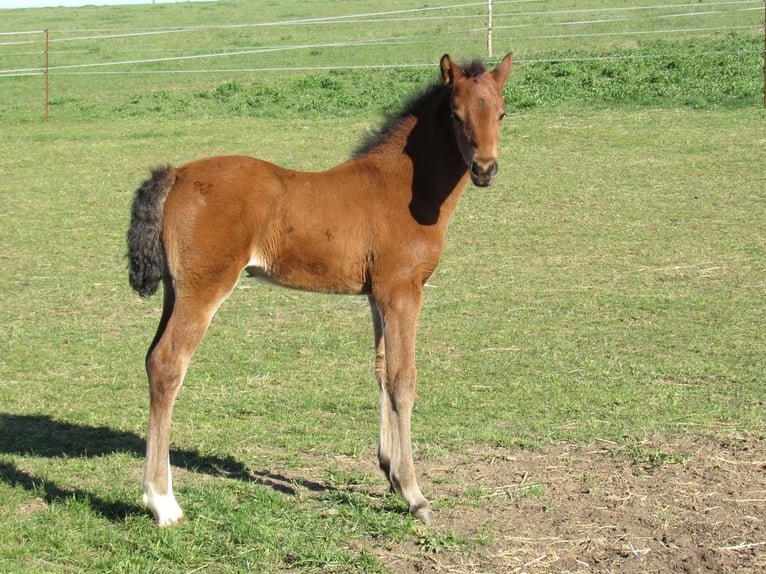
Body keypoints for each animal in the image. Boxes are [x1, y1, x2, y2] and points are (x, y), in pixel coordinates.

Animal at [127, 52, 513, 527]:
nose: (485, 170)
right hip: (203, 290)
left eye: (502, 113)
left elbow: (381, 371)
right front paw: (414, 494)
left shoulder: (378, 295)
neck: (403, 188)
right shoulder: (403, 291)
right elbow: (403, 380)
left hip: (175, 292)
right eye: (457, 115)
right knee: (168, 364)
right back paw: (163, 502)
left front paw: (389, 471)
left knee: (151, 359)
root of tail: (177, 174)